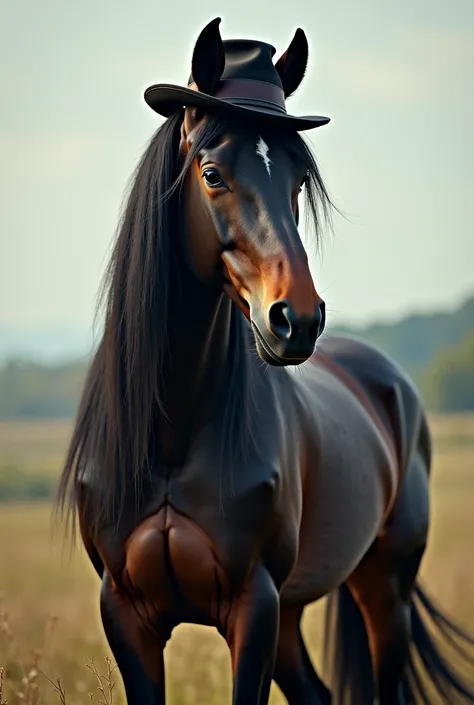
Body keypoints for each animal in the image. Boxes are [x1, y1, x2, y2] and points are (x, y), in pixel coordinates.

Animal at [57, 16, 474, 704]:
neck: (173, 435)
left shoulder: (253, 606)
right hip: (294, 613)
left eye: (299, 181)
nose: (297, 319)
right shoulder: (125, 611)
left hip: (382, 592)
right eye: (212, 174)